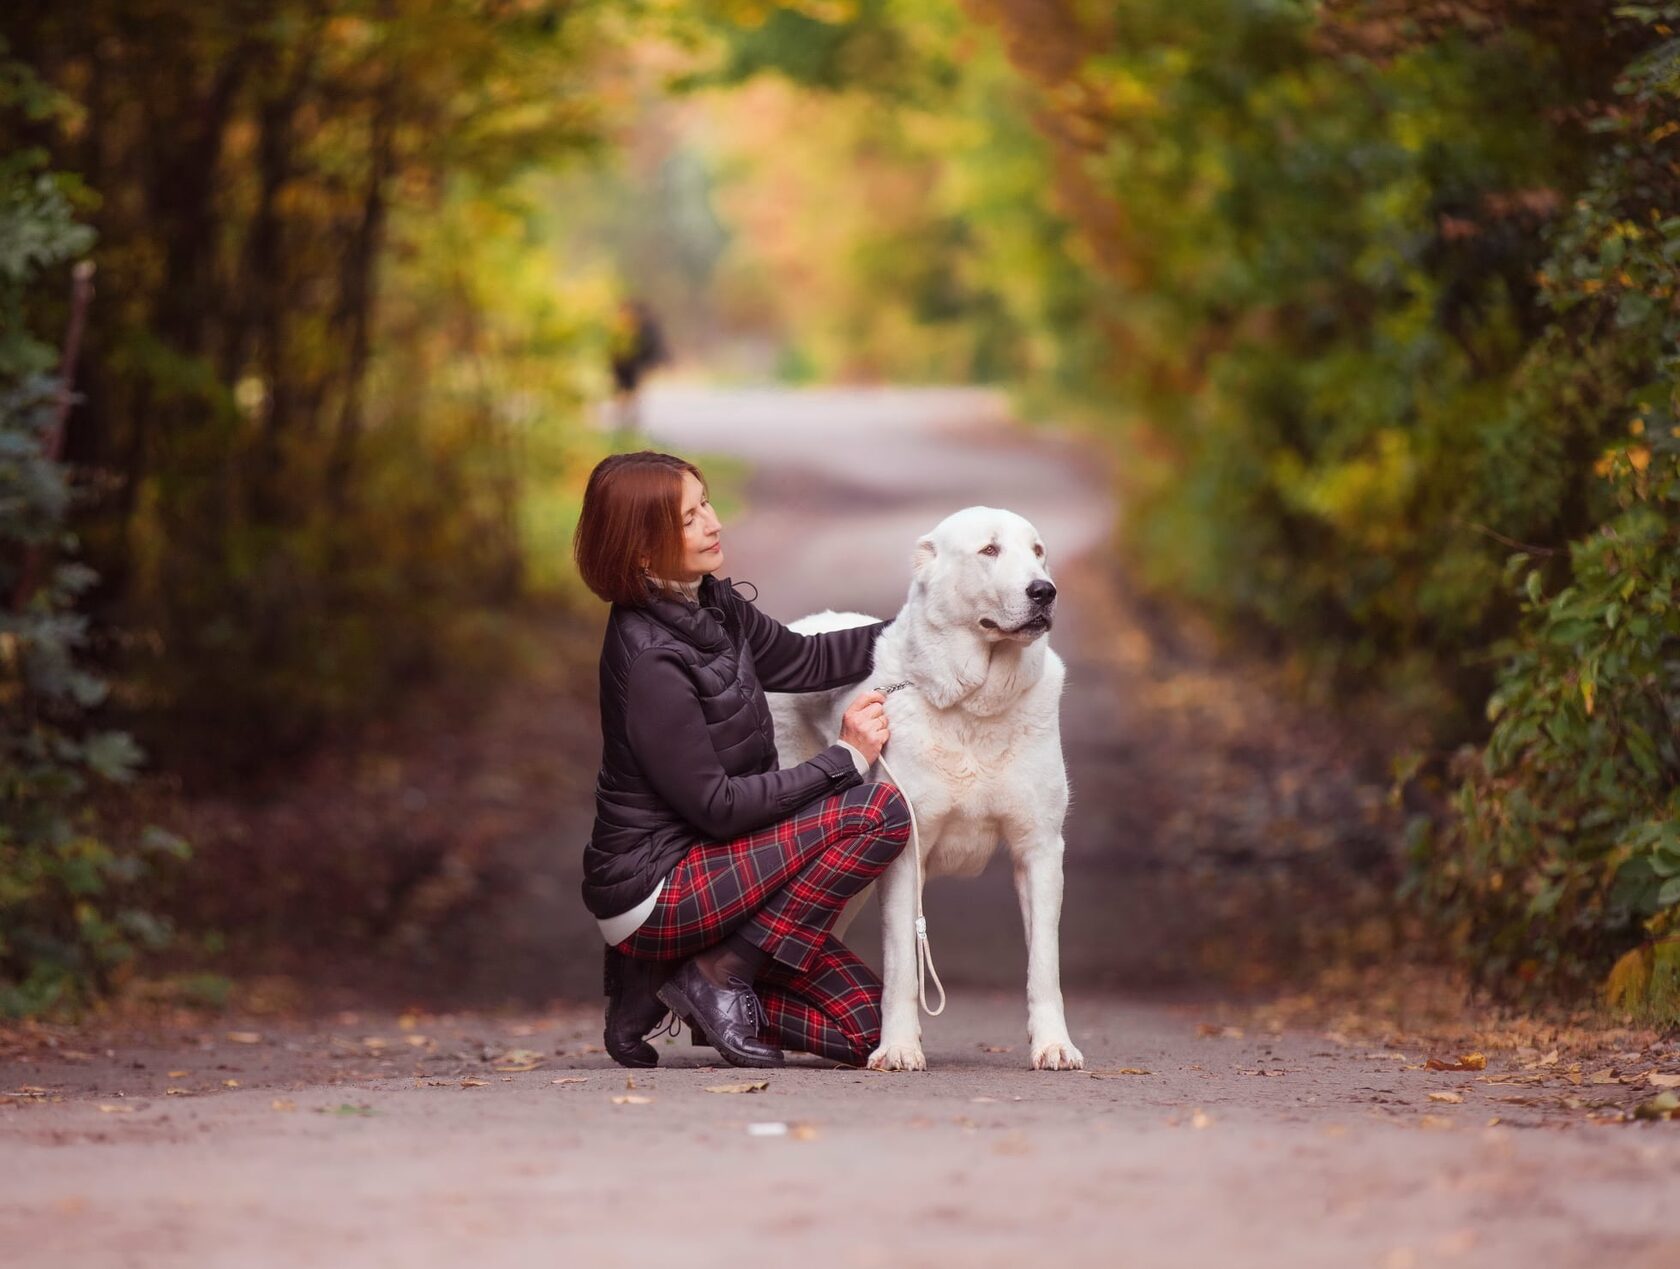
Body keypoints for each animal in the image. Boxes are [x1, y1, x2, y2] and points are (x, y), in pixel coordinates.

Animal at [769, 507, 1081, 1068]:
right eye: (989, 550)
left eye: (1038, 551)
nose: (1044, 591)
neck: (972, 706)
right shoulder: (904, 853)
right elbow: (902, 970)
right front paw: (897, 1048)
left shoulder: (1040, 850)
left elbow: (1045, 966)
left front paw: (1054, 1045)